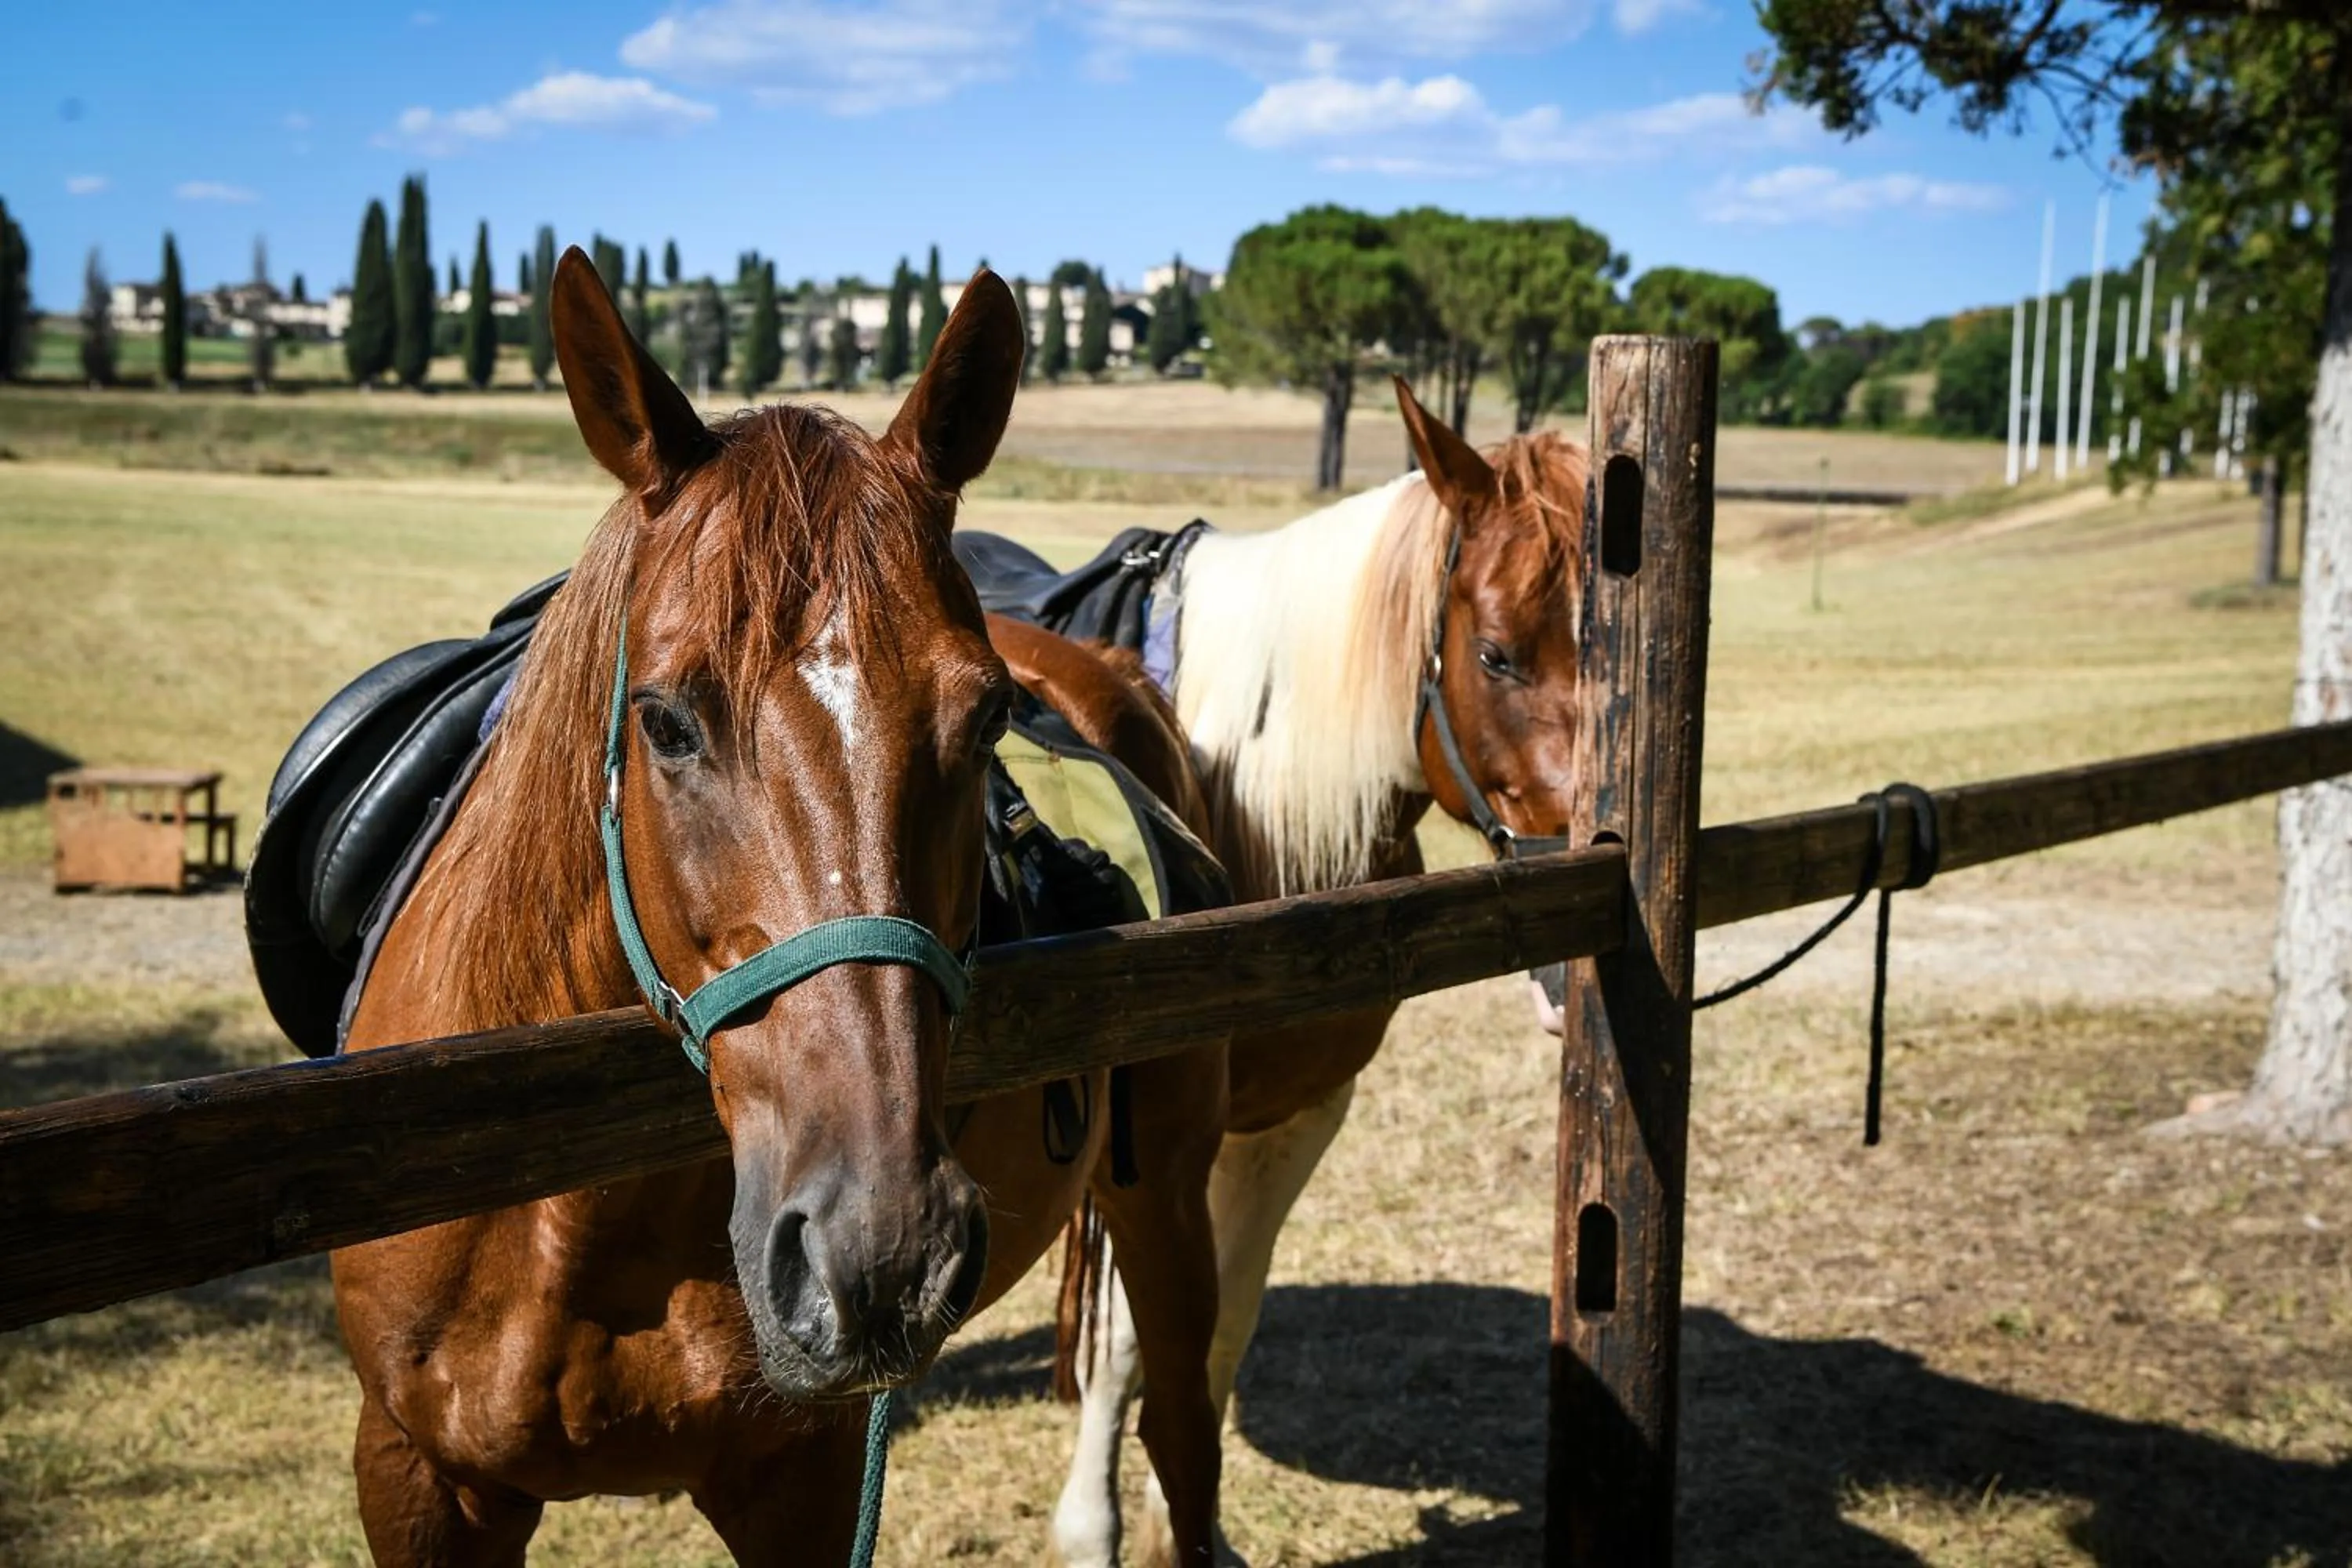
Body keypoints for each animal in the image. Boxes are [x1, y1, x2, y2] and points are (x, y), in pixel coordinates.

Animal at [331, 246, 1226, 1567]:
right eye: (665, 722)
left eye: (985, 718)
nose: (881, 1252)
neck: (569, 1199)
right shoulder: (414, 1473)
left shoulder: (804, 1474)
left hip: (1165, 1192)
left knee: (1183, 1429)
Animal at [1050, 381, 1588, 1566]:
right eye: (1496, 656)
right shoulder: (1147, 1146)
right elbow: (1125, 1341)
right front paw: (1092, 1529)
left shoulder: (1294, 1118)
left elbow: (1217, 1330)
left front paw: (1186, 1532)